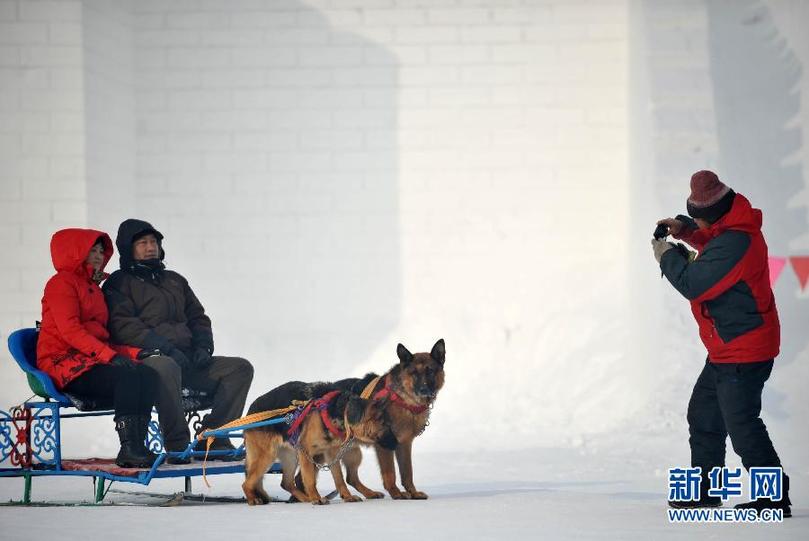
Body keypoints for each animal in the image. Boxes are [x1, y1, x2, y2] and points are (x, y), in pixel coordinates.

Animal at [241, 382, 386, 504]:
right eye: (379, 419)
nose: (390, 438)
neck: (335, 410)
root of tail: (250, 412)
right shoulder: (305, 452)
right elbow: (310, 479)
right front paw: (316, 498)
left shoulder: (332, 455)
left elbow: (339, 478)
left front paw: (347, 496)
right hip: (267, 457)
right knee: (247, 483)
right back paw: (253, 499)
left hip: (291, 457)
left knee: (286, 483)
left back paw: (305, 498)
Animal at [334, 340, 448, 500]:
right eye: (414, 373)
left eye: (430, 371)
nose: (424, 390)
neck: (402, 399)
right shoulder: (384, 444)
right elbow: (390, 474)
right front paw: (396, 493)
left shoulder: (404, 444)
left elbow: (407, 472)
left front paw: (413, 493)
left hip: (351, 451)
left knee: (350, 478)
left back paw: (369, 493)